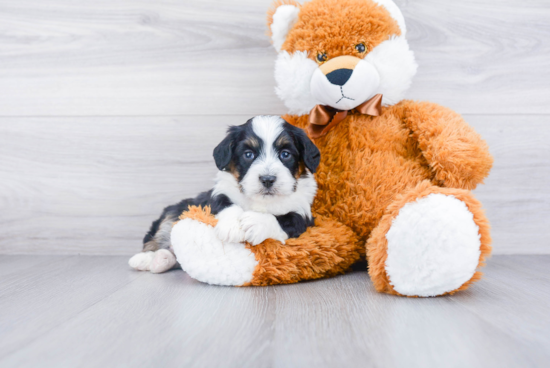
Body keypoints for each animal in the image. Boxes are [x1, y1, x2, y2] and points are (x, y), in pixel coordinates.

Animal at [129, 115, 322, 274]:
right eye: (248, 154)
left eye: (285, 154)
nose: (267, 179)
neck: (261, 200)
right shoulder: (218, 195)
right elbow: (227, 205)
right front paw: (232, 227)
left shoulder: (303, 215)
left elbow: (283, 219)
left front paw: (255, 223)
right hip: (173, 212)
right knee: (158, 237)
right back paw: (145, 259)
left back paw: (161, 260)